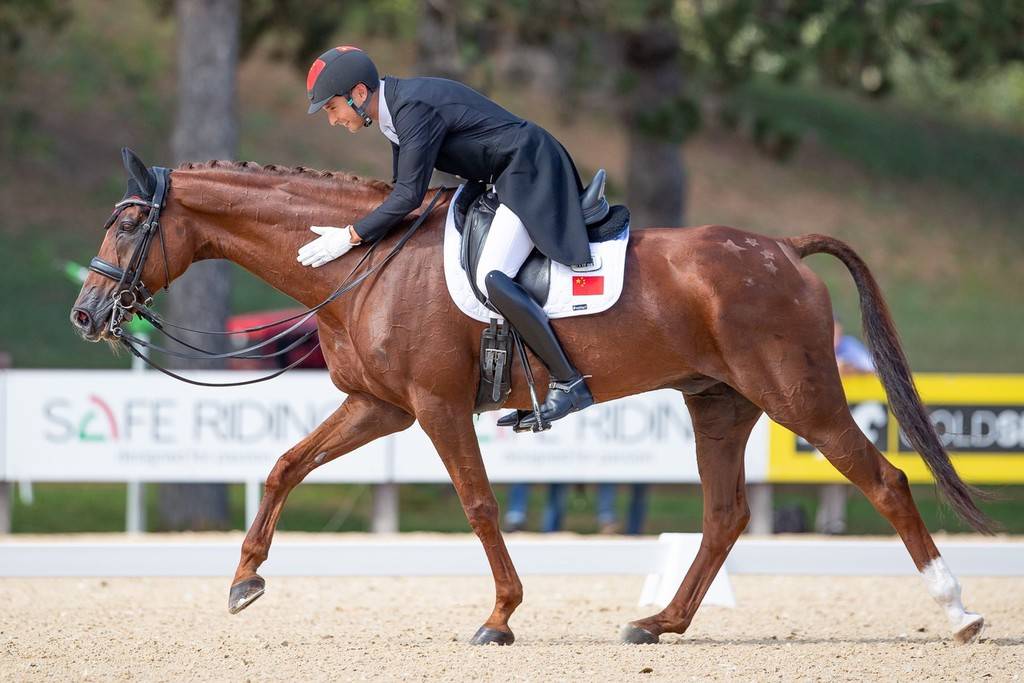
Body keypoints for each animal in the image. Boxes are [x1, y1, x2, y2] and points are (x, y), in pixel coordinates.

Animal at [71, 150, 992, 646]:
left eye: (128, 221)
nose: (86, 313)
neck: (363, 260)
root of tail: (783, 247)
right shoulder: (380, 406)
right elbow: (284, 465)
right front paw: (245, 579)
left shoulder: (435, 407)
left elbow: (479, 504)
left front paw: (501, 616)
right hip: (719, 404)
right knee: (726, 513)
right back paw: (659, 621)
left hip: (800, 396)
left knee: (884, 481)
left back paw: (959, 613)